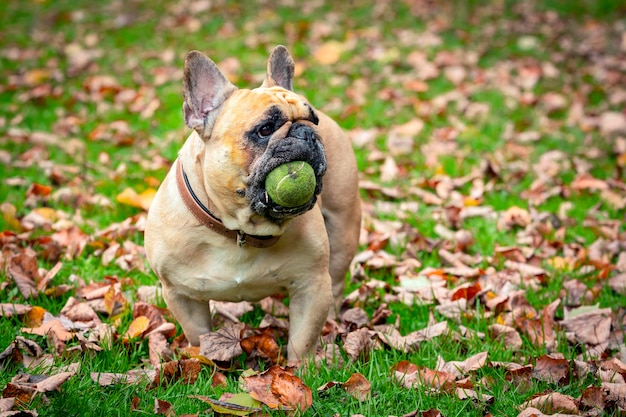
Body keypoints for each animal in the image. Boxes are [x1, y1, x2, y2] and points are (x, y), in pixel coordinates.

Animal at [145, 45, 360, 360]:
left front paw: (301, 369)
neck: (239, 229)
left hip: (343, 231)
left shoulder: (312, 285)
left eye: (313, 120)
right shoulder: (180, 294)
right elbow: (198, 334)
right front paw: (203, 358)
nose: (308, 132)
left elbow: (302, 339)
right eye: (265, 129)